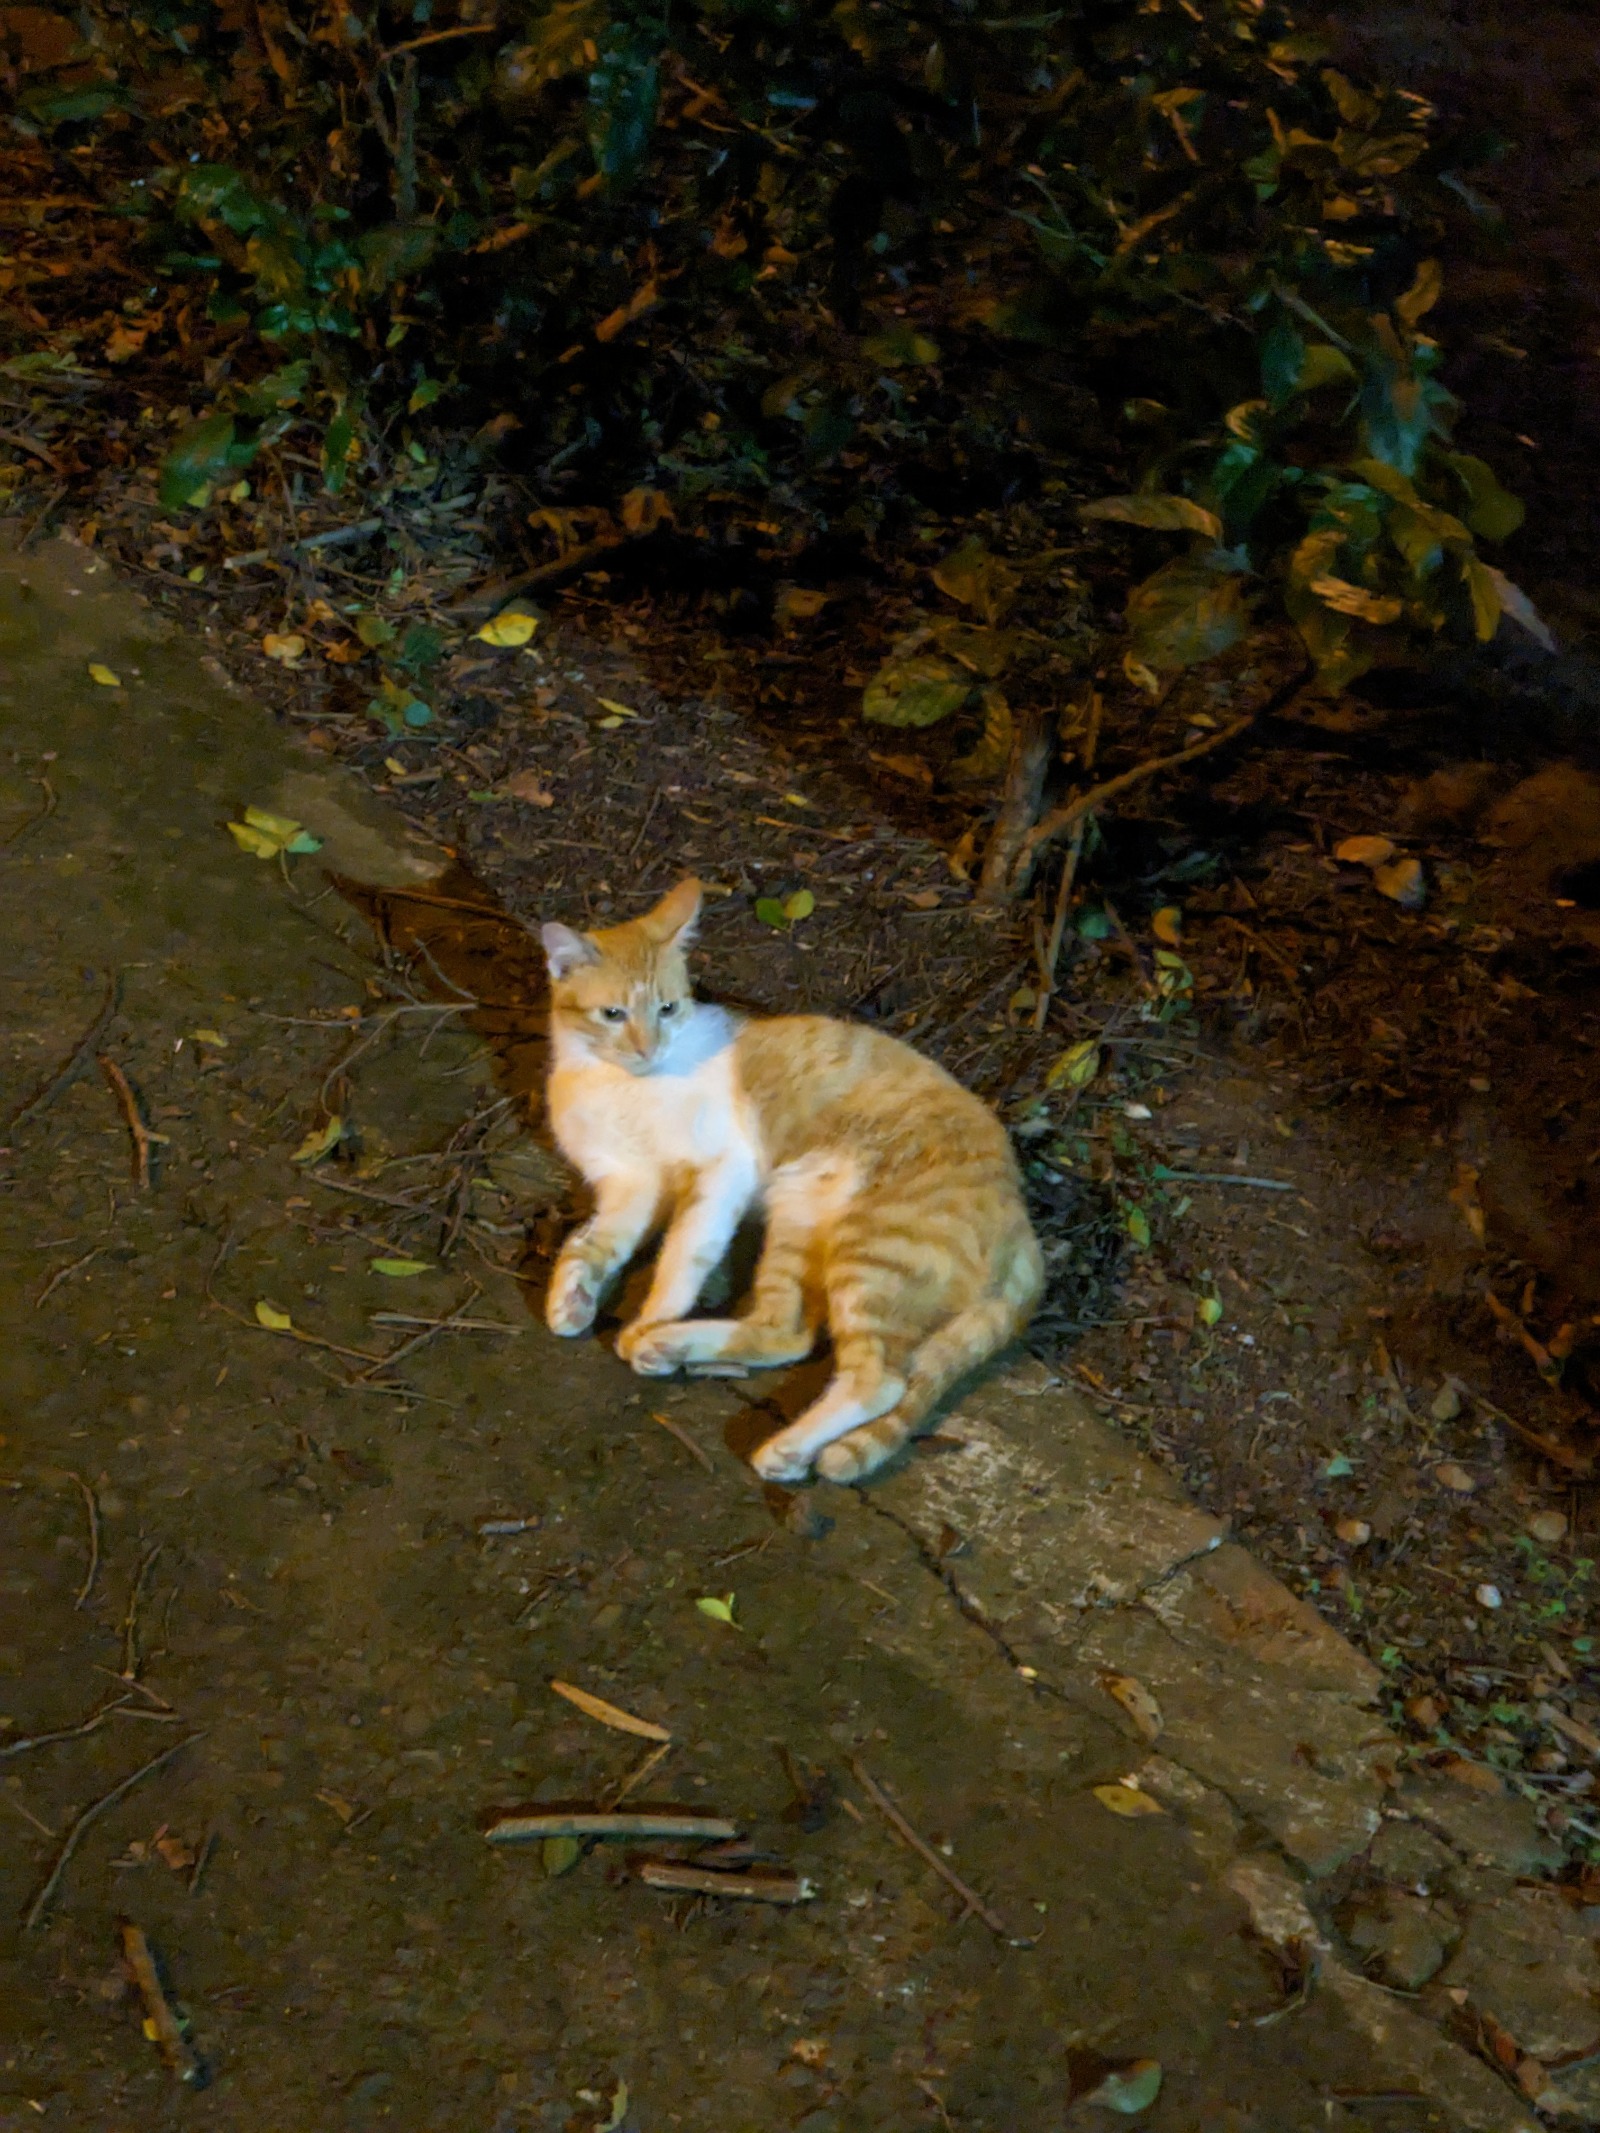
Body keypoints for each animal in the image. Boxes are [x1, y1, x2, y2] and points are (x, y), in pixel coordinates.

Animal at [539, 877, 1043, 1484]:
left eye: (668, 1008)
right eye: (613, 1013)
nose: (647, 1047)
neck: (619, 1082)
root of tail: (1022, 1217)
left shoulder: (723, 1169)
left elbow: (682, 1254)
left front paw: (653, 1312)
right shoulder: (629, 1185)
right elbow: (589, 1243)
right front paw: (572, 1297)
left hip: (870, 1248)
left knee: (879, 1380)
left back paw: (776, 1433)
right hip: (800, 1210)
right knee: (789, 1330)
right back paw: (679, 1350)